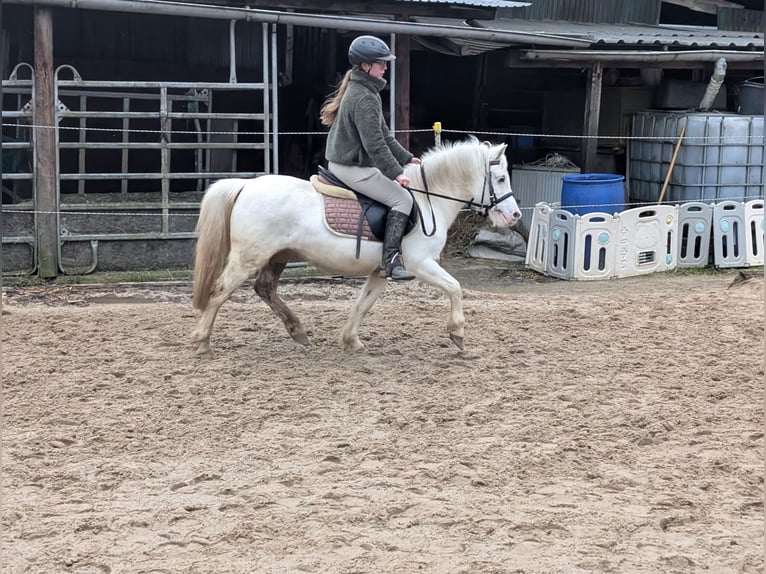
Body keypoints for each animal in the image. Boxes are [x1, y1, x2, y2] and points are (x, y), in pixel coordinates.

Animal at [191, 137, 522, 356]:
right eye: (500, 178)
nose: (515, 215)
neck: (428, 199)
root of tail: (246, 184)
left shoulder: (382, 270)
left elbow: (363, 303)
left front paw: (351, 341)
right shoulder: (421, 264)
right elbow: (455, 288)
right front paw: (458, 334)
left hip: (277, 256)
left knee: (265, 289)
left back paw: (298, 331)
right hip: (248, 257)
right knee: (220, 292)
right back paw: (203, 342)